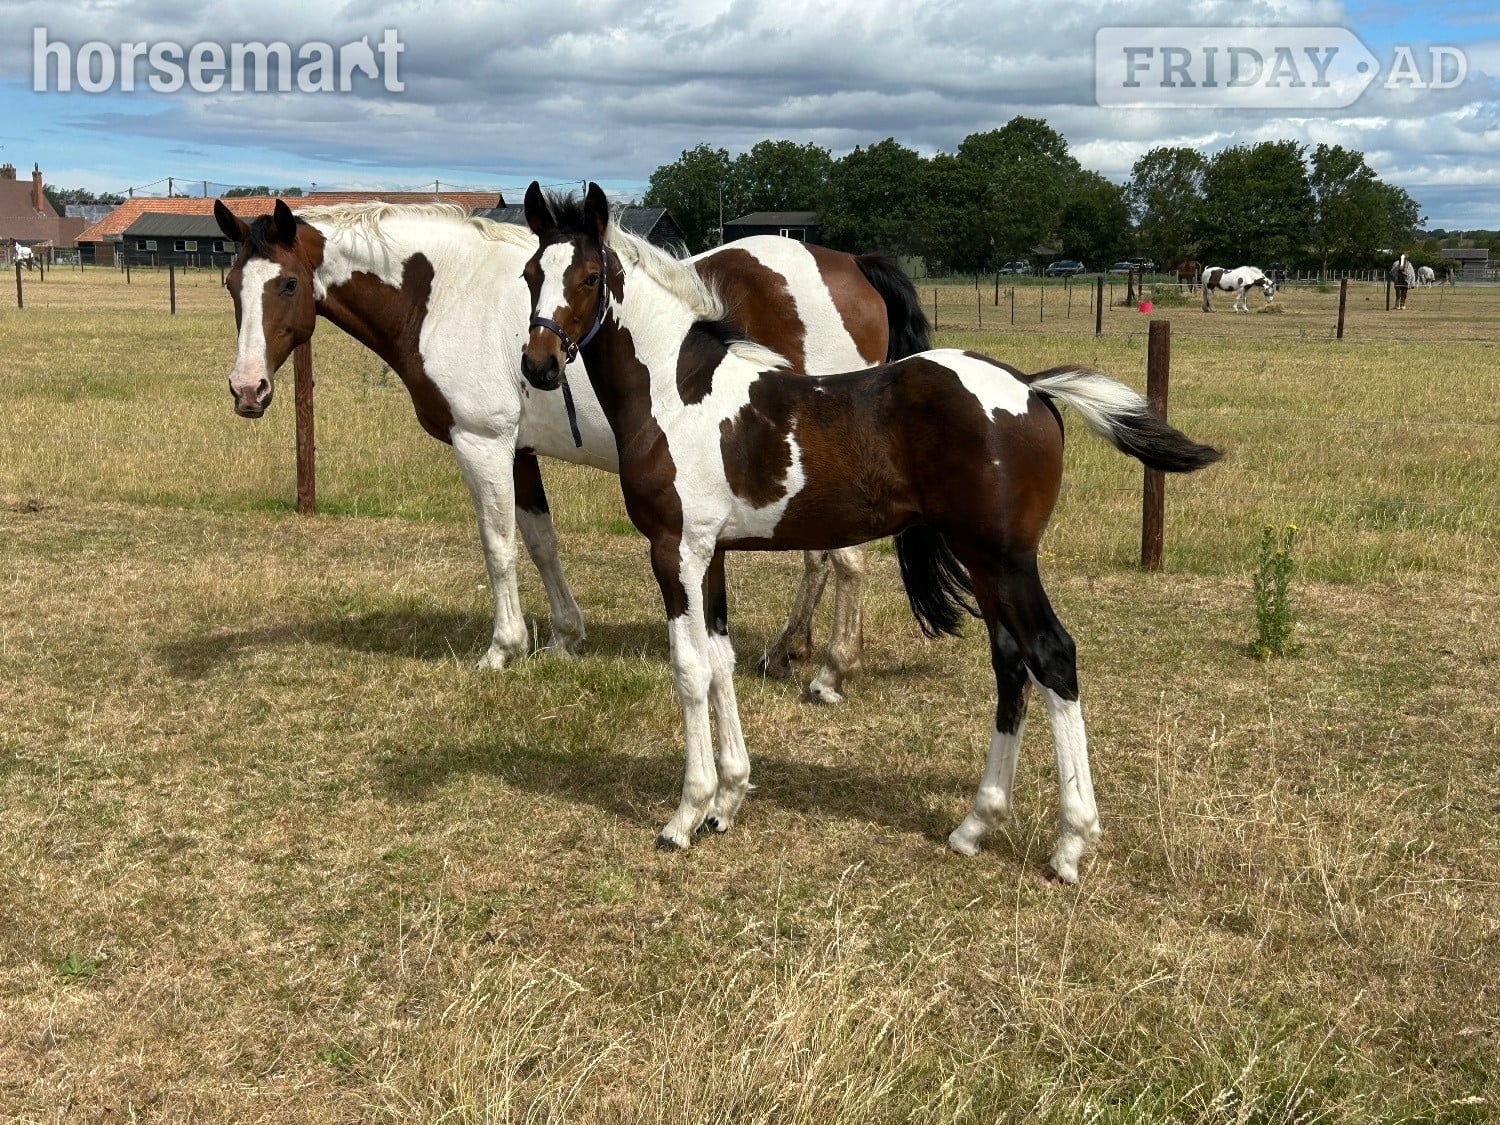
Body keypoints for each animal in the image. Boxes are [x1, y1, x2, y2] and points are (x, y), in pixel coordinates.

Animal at [212, 197, 930, 703]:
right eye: (230, 284)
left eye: (285, 285)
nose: (247, 389)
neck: (443, 293)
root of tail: (851, 266)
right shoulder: (520, 451)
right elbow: (540, 541)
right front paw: (564, 637)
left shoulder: (482, 444)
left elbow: (498, 546)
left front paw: (503, 648)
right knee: (820, 559)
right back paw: (788, 650)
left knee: (846, 561)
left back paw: (830, 672)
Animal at [519, 182, 1223, 883]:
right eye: (531, 275)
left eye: (588, 278)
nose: (539, 366)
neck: (678, 394)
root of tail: (1030, 388)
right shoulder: (709, 555)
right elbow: (720, 664)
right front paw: (728, 801)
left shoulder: (676, 552)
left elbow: (689, 669)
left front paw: (686, 816)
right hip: (984, 563)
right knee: (1010, 662)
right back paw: (975, 824)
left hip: (1006, 559)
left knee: (1052, 656)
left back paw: (1071, 843)